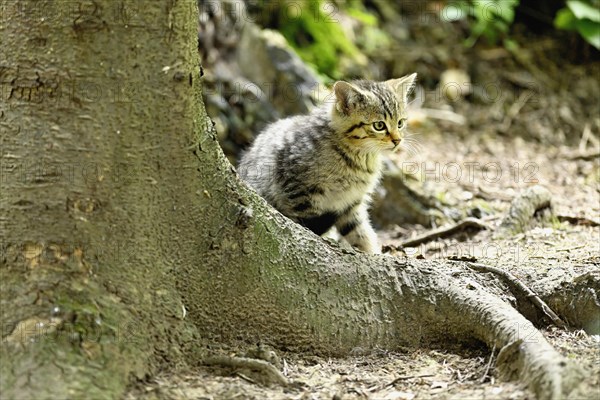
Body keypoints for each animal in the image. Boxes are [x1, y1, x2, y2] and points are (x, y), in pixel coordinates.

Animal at [237, 74, 414, 255]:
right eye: (379, 125)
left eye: (400, 123)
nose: (397, 140)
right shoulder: (299, 192)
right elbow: (309, 228)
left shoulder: (351, 202)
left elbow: (360, 232)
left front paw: (371, 253)